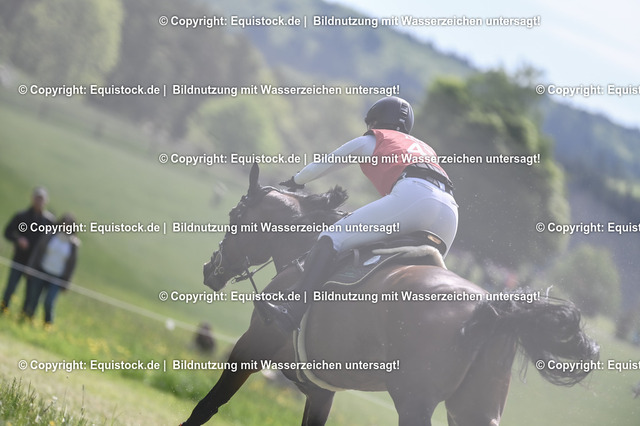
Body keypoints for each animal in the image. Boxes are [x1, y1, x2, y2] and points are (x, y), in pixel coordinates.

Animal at [181, 164, 599, 426]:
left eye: (235, 217)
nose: (208, 269)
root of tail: (494, 308)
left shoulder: (251, 348)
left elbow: (206, 407)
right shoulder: (321, 392)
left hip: (414, 402)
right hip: (474, 410)